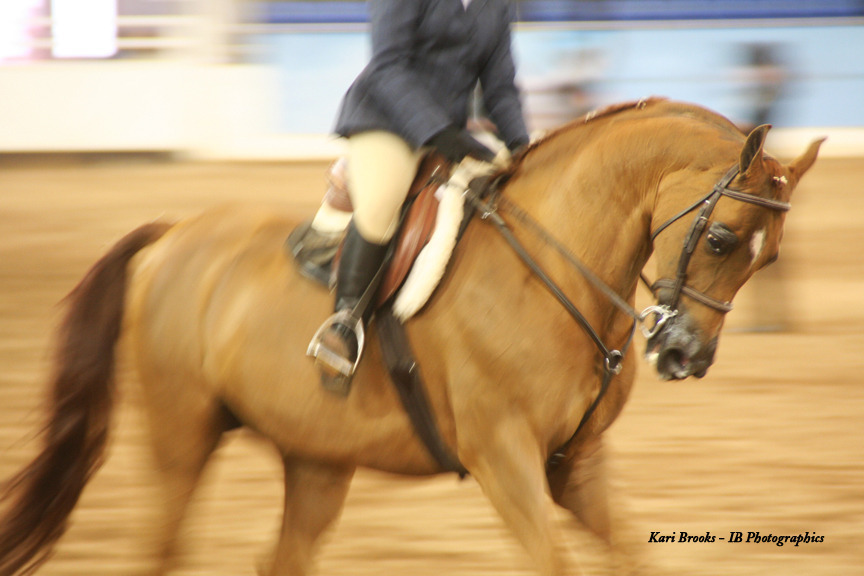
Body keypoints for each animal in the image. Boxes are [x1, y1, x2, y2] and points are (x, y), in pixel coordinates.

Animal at [0, 98, 823, 576]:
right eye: (719, 238)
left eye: (770, 257)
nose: (686, 355)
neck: (552, 269)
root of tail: (173, 234)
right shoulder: (503, 458)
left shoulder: (574, 464)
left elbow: (627, 558)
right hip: (182, 437)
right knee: (160, 548)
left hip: (317, 460)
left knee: (283, 557)